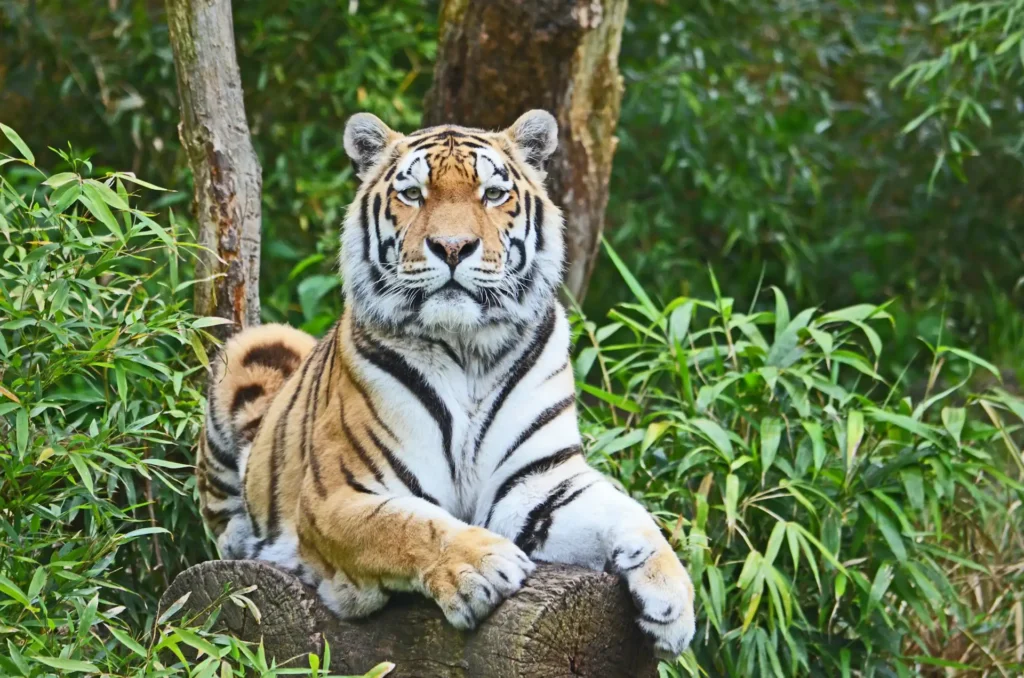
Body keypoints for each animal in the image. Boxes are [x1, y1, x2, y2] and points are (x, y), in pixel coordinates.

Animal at [196, 110, 696, 656]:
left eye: (492, 194)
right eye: (413, 194)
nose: (453, 247)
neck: (468, 349)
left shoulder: (541, 482)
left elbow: (631, 514)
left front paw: (673, 599)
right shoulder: (338, 497)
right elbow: (410, 525)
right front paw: (484, 565)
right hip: (258, 344)